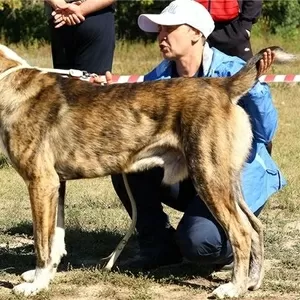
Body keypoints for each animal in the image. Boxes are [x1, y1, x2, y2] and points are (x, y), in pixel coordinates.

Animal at [0, 44, 296, 298]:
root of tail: (222, 86)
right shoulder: (56, 184)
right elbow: (55, 240)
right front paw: (43, 276)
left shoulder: (40, 182)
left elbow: (41, 241)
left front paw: (36, 285)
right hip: (228, 181)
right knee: (255, 226)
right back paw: (252, 282)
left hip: (209, 177)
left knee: (240, 232)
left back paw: (233, 288)